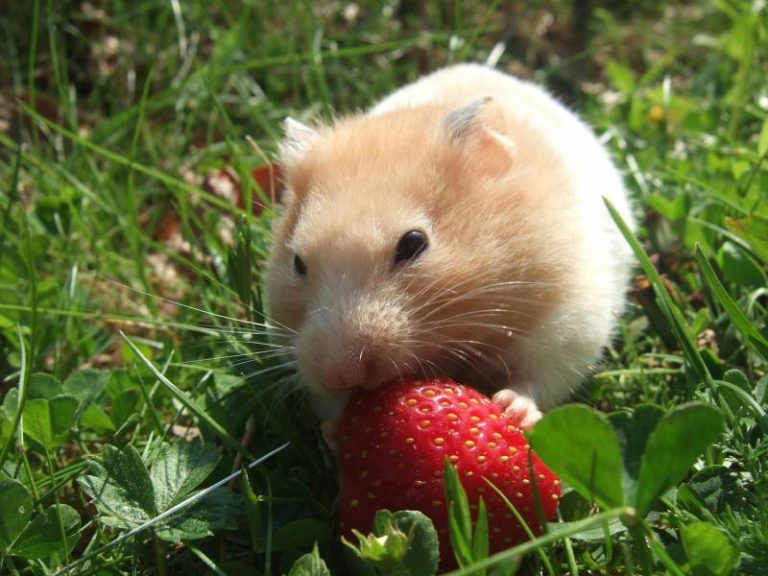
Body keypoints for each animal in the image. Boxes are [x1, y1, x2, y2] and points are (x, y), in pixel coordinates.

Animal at [265, 63, 635, 427]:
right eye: (297, 262)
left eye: (413, 243)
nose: (339, 374)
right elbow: (331, 407)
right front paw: (335, 427)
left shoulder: (568, 323)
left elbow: (538, 378)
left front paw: (510, 409)